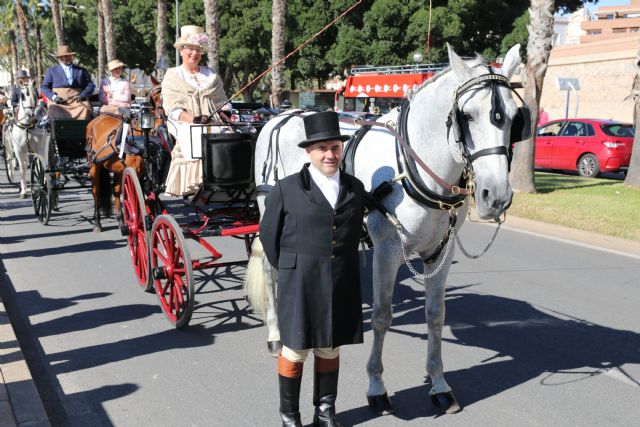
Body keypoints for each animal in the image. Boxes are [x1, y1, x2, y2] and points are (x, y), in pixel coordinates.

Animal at [85, 75, 164, 232]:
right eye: (153, 99)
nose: (156, 128)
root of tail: (95, 120)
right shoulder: (134, 170)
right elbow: (137, 196)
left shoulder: (146, 173)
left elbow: (146, 193)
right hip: (94, 165)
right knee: (96, 191)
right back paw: (97, 222)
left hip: (117, 168)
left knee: (116, 191)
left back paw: (121, 220)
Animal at [245, 45, 528, 416]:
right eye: (466, 116)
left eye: (513, 117)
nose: (495, 196)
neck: (411, 168)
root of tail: (281, 116)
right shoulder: (388, 250)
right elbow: (382, 315)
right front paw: (377, 387)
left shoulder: (441, 250)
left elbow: (435, 315)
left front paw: (439, 384)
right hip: (272, 217)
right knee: (272, 271)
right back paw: (276, 335)